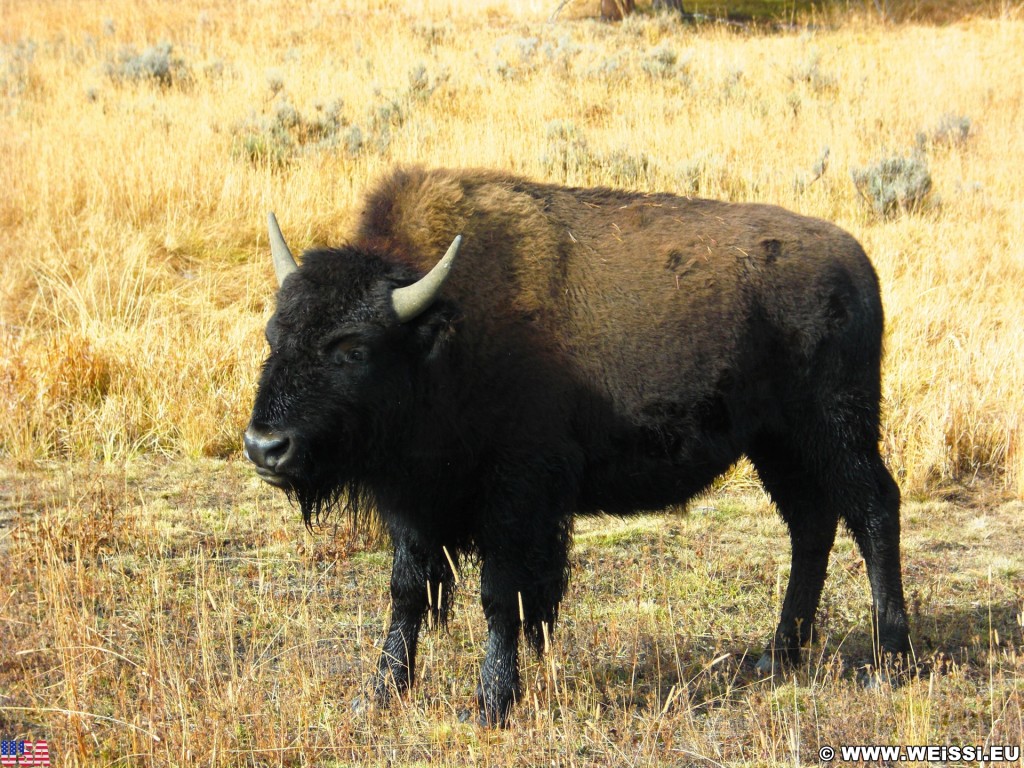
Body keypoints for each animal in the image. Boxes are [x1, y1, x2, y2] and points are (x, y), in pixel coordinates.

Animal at [243, 166, 909, 729]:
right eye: (274, 335)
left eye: (353, 347)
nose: (265, 447)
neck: (441, 334)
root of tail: (858, 265)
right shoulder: (416, 504)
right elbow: (408, 592)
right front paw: (381, 693)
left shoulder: (514, 498)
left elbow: (500, 597)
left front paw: (490, 705)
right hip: (777, 445)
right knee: (811, 524)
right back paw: (779, 655)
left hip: (835, 428)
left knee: (874, 510)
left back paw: (890, 661)